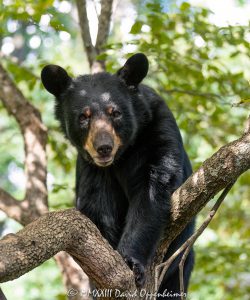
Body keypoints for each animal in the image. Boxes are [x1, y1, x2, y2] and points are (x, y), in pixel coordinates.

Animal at [41, 53, 194, 296]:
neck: (121, 155)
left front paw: (131, 263)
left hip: (182, 265)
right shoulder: (92, 169)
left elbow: (152, 190)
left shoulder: (158, 129)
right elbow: (98, 207)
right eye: (83, 117)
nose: (103, 147)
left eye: (116, 113)